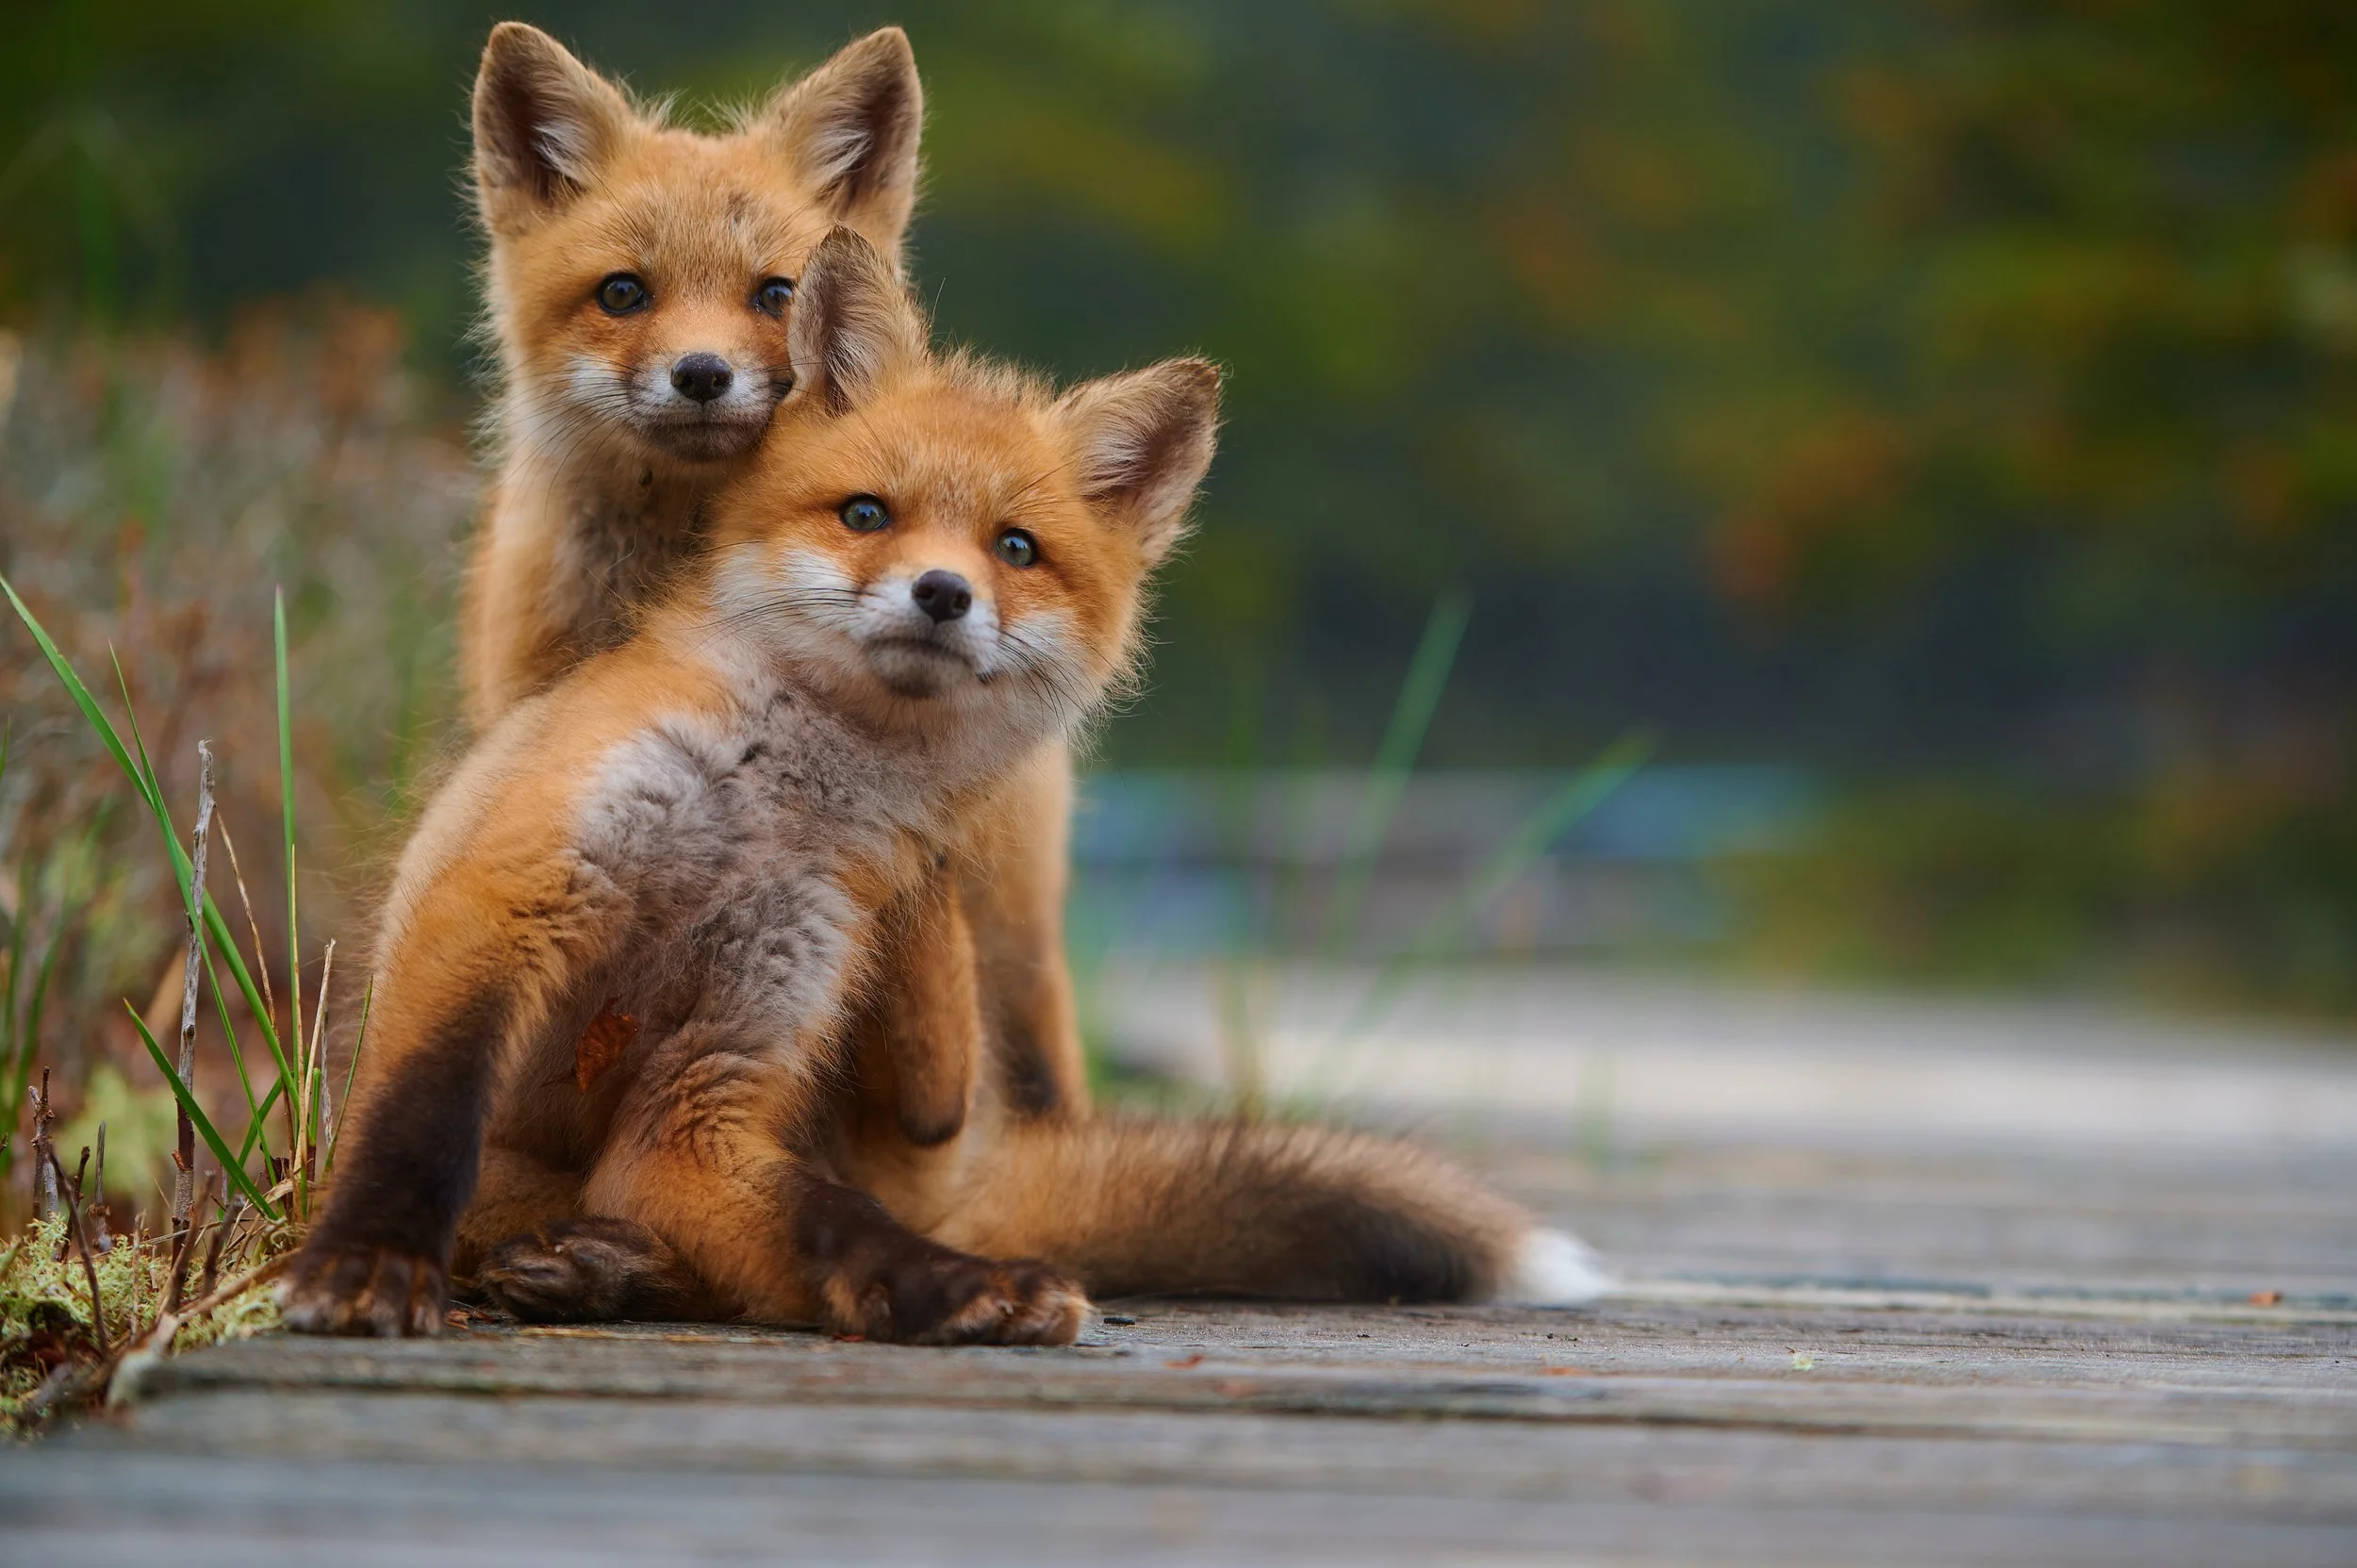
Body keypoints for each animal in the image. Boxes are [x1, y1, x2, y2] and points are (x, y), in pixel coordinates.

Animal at [280, 228, 1608, 1341]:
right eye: (867, 515)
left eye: (1014, 548)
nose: (941, 593)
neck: (766, 807)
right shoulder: (511, 896)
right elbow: (422, 1116)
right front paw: (369, 1266)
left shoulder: (713, 1084)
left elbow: (832, 1224)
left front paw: (955, 1288)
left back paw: (613, 1267)